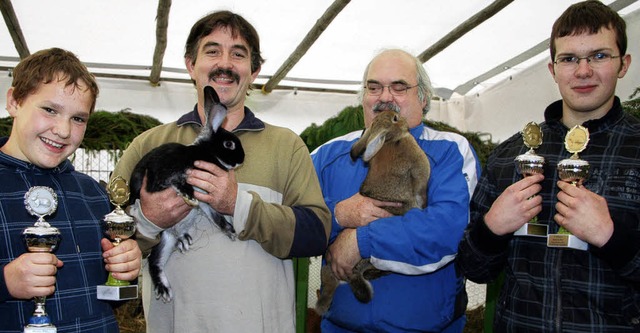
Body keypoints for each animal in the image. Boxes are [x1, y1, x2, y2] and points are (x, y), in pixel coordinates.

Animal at [129, 85, 244, 300]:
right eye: (229, 144)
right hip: (161, 238)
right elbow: (177, 182)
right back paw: (163, 288)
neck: (205, 154)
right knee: (154, 263)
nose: (241, 159)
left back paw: (184, 239)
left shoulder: (206, 199)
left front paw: (230, 231)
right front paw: (188, 195)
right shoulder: (167, 175)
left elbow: (216, 216)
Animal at [316, 111, 430, 314]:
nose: (401, 117)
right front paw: (424, 202)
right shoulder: (419, 164)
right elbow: (421, 183)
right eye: (394, 119)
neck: (389, 140)